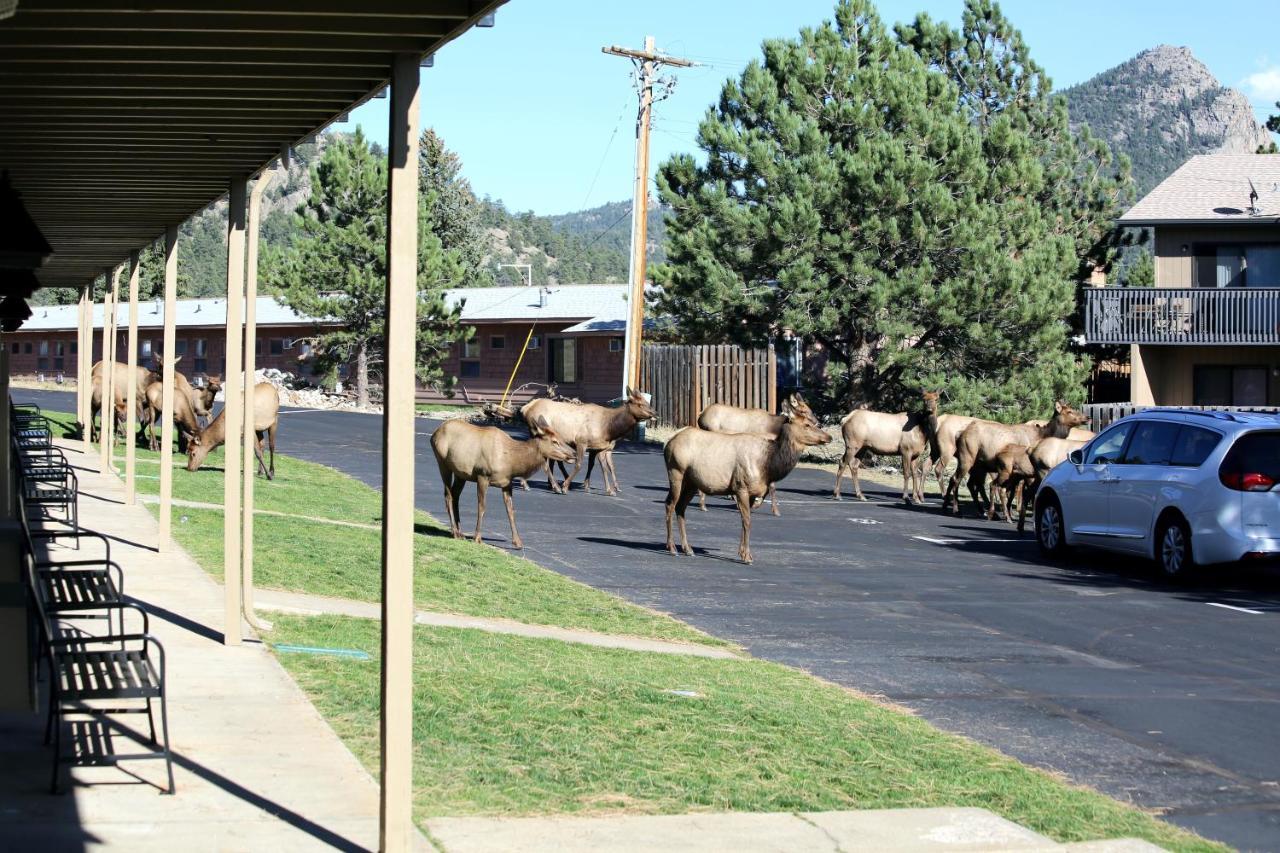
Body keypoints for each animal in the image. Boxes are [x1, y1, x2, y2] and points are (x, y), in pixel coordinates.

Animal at [430, 414, 570, 548]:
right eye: (555, 441)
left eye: (560, 438)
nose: (572, 454)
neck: (511, 462)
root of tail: (434, 434)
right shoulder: (482, 475)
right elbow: (482, 506)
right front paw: (477, 538)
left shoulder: (507, 483)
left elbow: (510, 510)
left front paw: (518, 542)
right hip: (442, 462)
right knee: (448, 495)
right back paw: (454, 532)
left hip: (461, 474)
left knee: (455, 495)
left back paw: (460, 532)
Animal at [522, 384, 655, 491]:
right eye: (639, 404)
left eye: (647, 402)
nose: (655, 413)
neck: (608, 428)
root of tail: (526, 408)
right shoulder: (581, 441)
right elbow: (579, 464)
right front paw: (566, 486)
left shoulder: (599, 447)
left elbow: (604, 467)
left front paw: (609, 490)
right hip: (537, 433)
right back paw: (551, 486)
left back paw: (545, 484)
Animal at [665, 412, 834, 560]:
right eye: (807, 424)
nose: (829, 436)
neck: (768, 465)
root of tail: (668, 442)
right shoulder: (741, 488)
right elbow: (747, 522)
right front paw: (747, 556)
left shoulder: (752, 493)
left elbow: (745, 521)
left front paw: (742, 553)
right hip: (676, 473)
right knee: (670, 505)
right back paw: (672, 548)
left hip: (692, 483)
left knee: (680, 508)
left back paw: (688, 548)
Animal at [947, 402, 1085, 514]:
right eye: (1069, 411)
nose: (1086, 418)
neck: (1041, 436)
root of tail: (959, 434)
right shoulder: (1028, 469)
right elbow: (1022, 491)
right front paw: (1016, 511)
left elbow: (1013, 490)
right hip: (967, 457)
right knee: (956, 478)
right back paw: (956, 509)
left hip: (979, 465)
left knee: (971, 484)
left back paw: (979, 510)